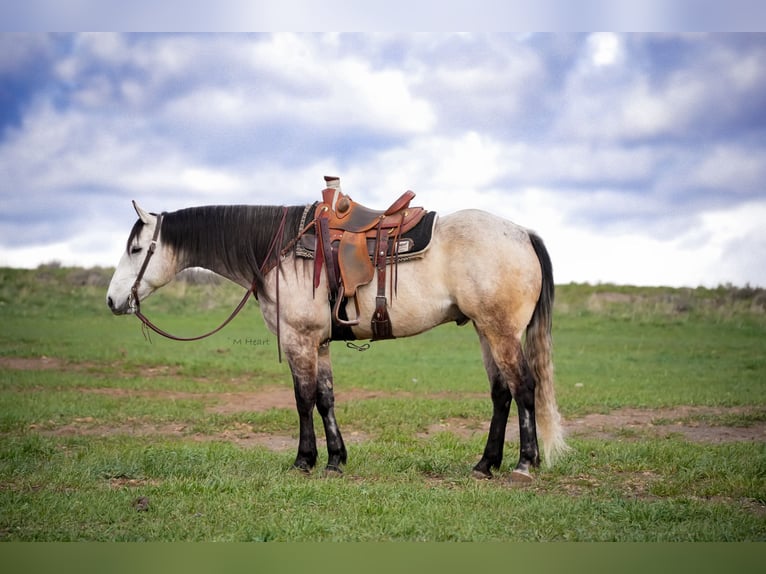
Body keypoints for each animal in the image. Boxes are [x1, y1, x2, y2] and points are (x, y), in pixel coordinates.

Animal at [106, 196, 569, 482]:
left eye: (135, 249)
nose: (113, 300)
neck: (279, 251)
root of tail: (522, 232)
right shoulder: (321, 343)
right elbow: (326, 398)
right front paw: (335, 459)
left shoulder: (299, 340)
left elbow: (303, 399)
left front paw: (304, 460)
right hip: (484, 330)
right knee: (502, 393)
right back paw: (485, 463)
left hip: (500, 331)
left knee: (524, 387)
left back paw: (524, 463)